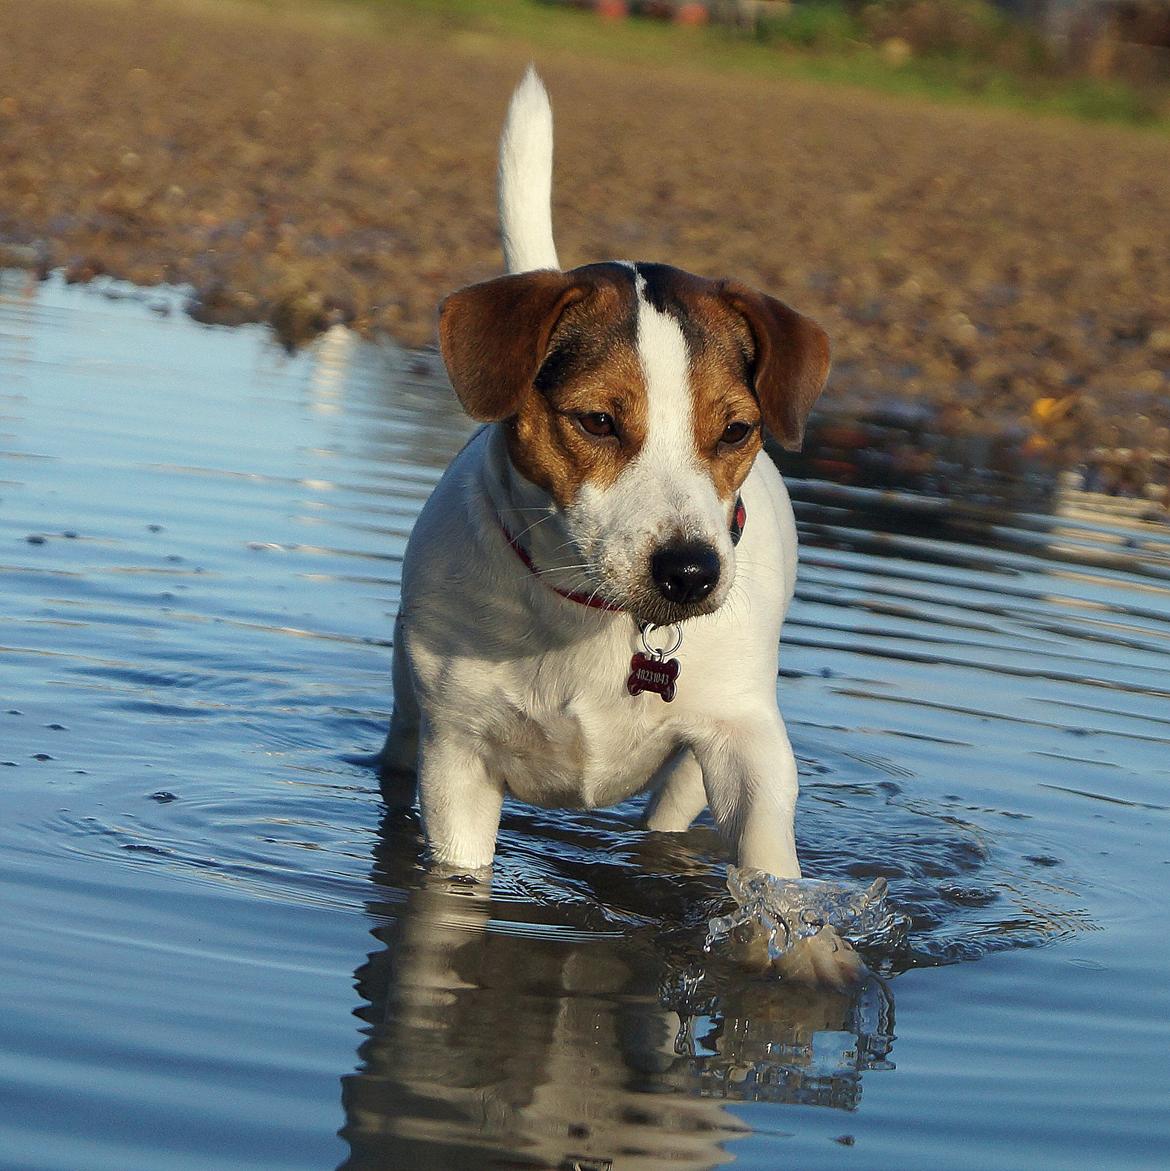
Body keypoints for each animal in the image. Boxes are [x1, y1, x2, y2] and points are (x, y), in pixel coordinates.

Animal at [384, 70, 861, 978]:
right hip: (409, 705)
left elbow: (767, 851)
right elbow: (457, 880)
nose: (690, 573)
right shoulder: (458, 758)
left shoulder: (746, 739)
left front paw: (801, 941)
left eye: (735, 431)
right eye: (599, 421)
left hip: (688, 770)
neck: (594, 619)